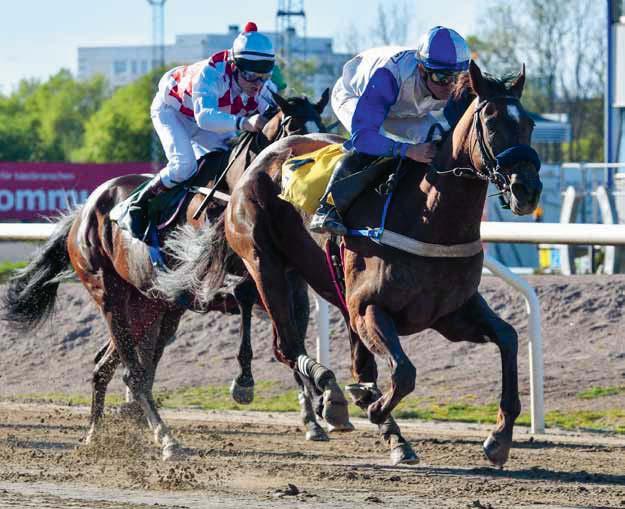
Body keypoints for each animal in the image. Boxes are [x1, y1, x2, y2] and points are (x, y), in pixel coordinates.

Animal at [1, 91, 342, 460]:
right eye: (293, 128)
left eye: (323, 125)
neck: (232, 193)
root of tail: (83, 212)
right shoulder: (214, 278)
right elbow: (251, 304)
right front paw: (246, 381)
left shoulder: (290, 284)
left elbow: (291, 336)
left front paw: (313, 417)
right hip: (109, 294)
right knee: (134, 373)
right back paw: (164, 438)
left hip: (150, 307)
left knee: (107, 365)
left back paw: (95, 432)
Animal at [223, 61, 540, 466]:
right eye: (491, 121)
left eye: (529, 123)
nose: (527, 189)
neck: (429, 216)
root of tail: (263, 158)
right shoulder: (368, 308)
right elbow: (404, 372)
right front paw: (372, 408)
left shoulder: (450, 314)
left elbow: (509, 337)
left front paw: (499, 438)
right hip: (265, 264)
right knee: (288, 345)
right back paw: (329, 395)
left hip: (310, 276)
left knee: (325, 352)